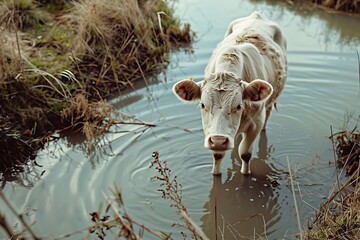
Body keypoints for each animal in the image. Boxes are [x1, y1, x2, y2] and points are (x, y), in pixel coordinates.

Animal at [173, 11, 288, 174]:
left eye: (239, 106)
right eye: (202, 105)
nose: (219, 141)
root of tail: (257, 15)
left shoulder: (256, 123)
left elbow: (245, 154)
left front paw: (246, 174)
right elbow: (218, 155)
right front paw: (216, 174)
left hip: (269, 106)